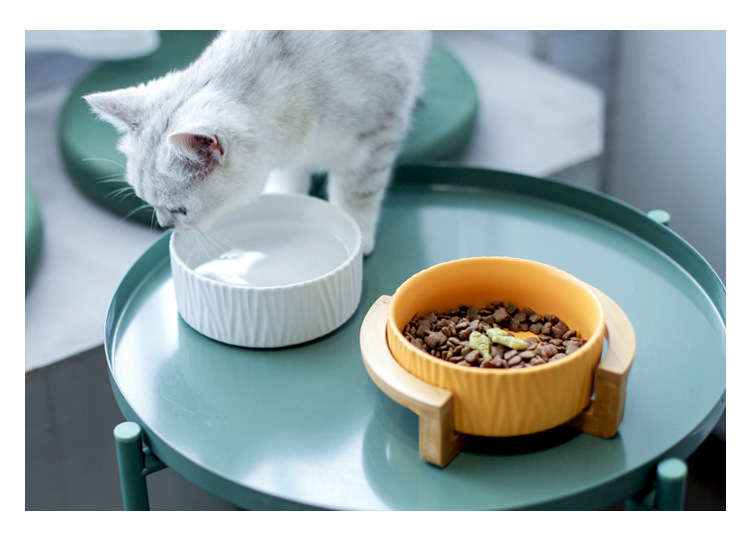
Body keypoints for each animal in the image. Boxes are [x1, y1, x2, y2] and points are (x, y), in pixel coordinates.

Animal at [85, 30, 432, 255]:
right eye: (147, 202)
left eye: (179, 210)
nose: (164, 225)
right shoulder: (291, 156)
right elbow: (291, 182)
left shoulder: (375, 137)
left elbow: (357, 194)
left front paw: (359, 234)